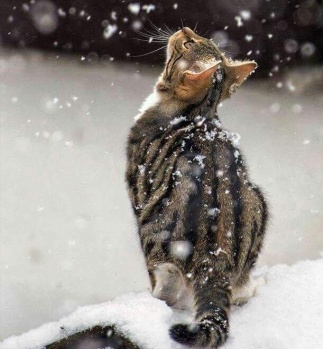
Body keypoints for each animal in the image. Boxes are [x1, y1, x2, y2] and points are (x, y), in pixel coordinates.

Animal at [126, 27, 268, 348]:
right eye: (201, 40)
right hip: (259, 203)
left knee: (166, 288)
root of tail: (215, 259)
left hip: (153, 233)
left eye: (189, 43)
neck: (199, 112)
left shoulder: (136, 184)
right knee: (239, 291)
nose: (184, 29)